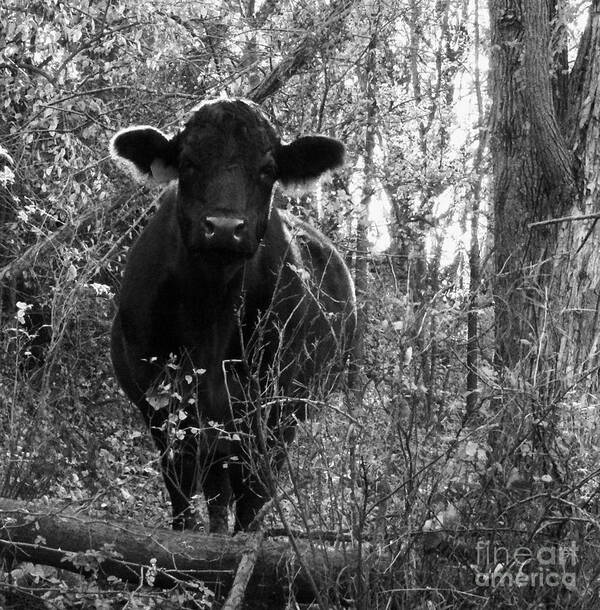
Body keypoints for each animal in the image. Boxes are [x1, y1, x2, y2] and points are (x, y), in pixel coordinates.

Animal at [109, 97, 354, 528]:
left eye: (268, 170)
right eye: (188, 162)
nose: (224, 227)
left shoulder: (273, 415)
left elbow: (253, 500)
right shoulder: (162, 411)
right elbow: (182, 499)